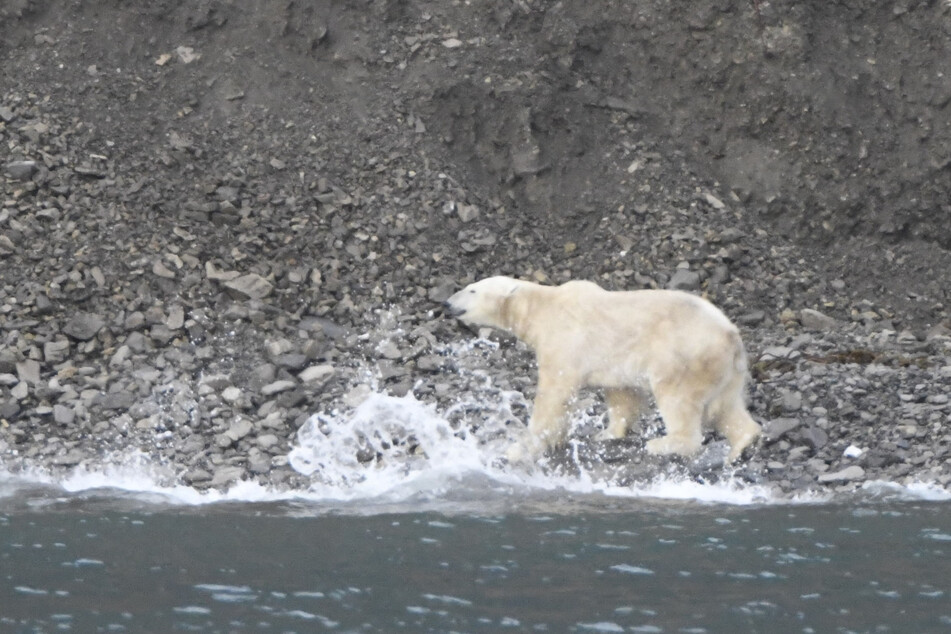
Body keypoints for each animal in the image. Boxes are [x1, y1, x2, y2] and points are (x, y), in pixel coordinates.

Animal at [442, 274, 764, 462]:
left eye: (471, 290)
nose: (446, 303)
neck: (542, 306)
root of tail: (731, 335)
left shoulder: (564, 340)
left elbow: (554, 394)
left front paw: (520, 446)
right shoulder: (615, 362)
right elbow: (621, 394)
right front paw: (607, 434)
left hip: (683, 357)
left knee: (678, 400)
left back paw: (663, 443)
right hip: (725, 368)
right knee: (726, 407)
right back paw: (740, 444)